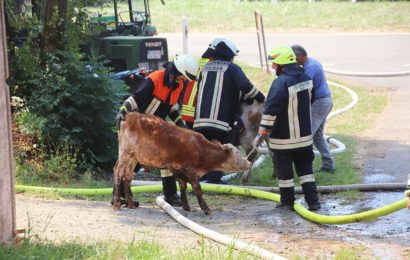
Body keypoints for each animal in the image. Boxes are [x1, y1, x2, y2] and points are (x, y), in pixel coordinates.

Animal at [112, 112, 250, 214]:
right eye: (238, 154)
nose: (249, 162)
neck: (201, 148)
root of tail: (128, 115)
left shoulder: (178, 170)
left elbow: (183, 187)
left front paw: (186, 207)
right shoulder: (191, 170)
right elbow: (197, 188)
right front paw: (206, 209)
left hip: (133, 158)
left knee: (127, 177)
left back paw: (130, 204)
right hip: (125, 153)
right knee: (118, 173)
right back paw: (117, 203)